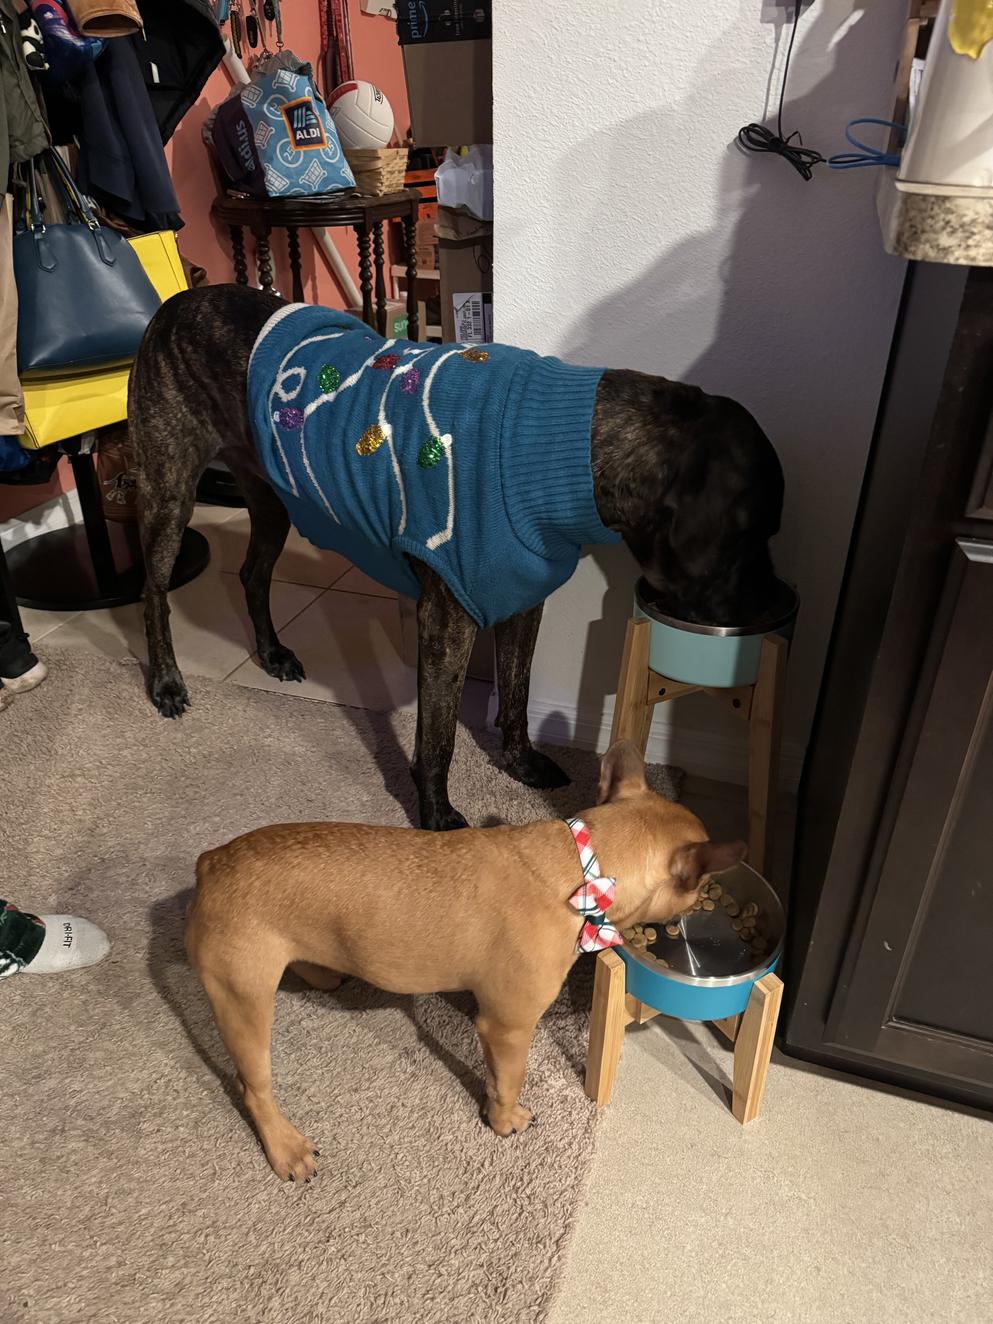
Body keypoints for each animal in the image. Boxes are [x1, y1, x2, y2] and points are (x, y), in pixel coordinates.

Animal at [130, 285, 783, 831]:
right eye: (752, 536)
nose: (762, 608)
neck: (570, 450)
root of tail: (177, 301)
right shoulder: (448, 619)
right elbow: (438, 735)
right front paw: (436, 816)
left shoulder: (522, 600)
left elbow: (517, 696)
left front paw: (521, 764)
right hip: (170, 491)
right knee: (153, 591)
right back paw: (165, 682)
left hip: (271, 497)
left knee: (251, 573)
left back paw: (270, 653)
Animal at [185, 740, 746, 1181]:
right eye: (698, 883)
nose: (700, 900)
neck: (586, 864)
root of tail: (211, 864)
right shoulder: (509, 1026)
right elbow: (507, 1080)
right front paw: (504, 1120)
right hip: (243, 1001)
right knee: (254, 1087)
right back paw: (286, 1146)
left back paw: (324, 973)